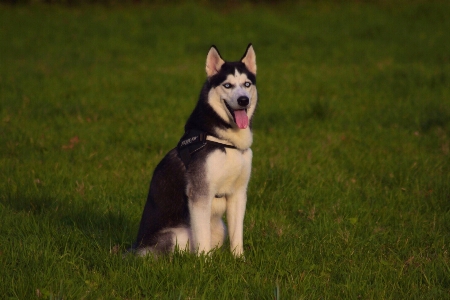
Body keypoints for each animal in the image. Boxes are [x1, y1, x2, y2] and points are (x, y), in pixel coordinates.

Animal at [131, 43, 256, 256]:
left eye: (247, 84)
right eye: (228, 85)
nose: (243, 100)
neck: (224, 141)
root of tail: (134, 248)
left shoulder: (238, 193)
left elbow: (237, 236)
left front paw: (239, 259)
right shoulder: (200, 194)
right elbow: (202, 239)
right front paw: (205, 262)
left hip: (220, 228)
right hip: (177, 234)